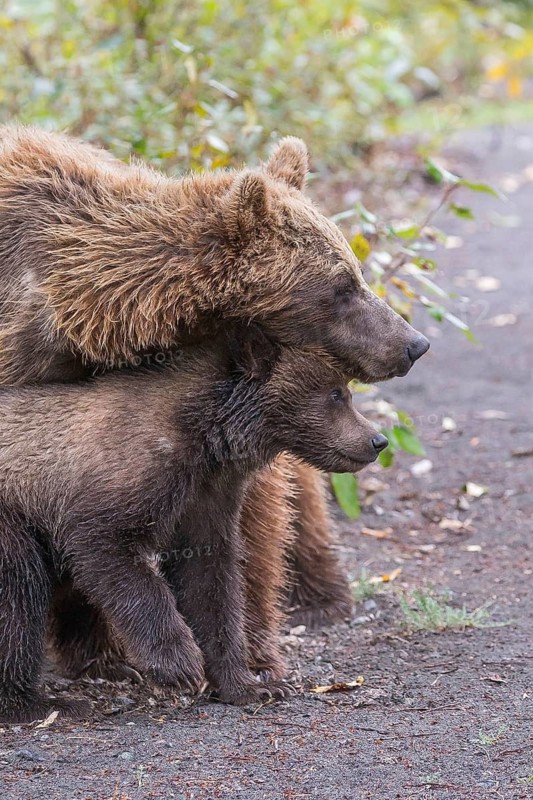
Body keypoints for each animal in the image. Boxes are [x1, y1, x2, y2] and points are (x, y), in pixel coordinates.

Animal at [0, 125, 428, 677]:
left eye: (356, 273)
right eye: (343, 286)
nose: (413, 344)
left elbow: (246, 521)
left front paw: (253, 652)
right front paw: (105, 648)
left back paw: (322, 594)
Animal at [0, 323, 388, 722]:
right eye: (336, 393)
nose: (378, 440)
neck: (205, 438)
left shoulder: (208, 497)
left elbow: (210, 583)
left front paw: (251, 685)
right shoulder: (120, 477)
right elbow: (108, 550)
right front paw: (179, 663)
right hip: (11, 523)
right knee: (18, 591)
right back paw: (39, 702)